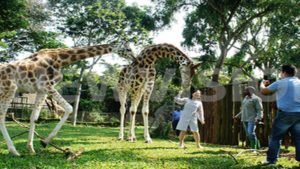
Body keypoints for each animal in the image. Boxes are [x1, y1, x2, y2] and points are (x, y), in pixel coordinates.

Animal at [0, 42, 134, 156]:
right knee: (2, 115)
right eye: (128, 49)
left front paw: (31, 148)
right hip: (9, 89)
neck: (60, 59)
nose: (134, 58)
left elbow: (34, 117)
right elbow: (69, 108)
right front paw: (45, 142)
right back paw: (14, 151)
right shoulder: (47, 85)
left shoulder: (41, 89)